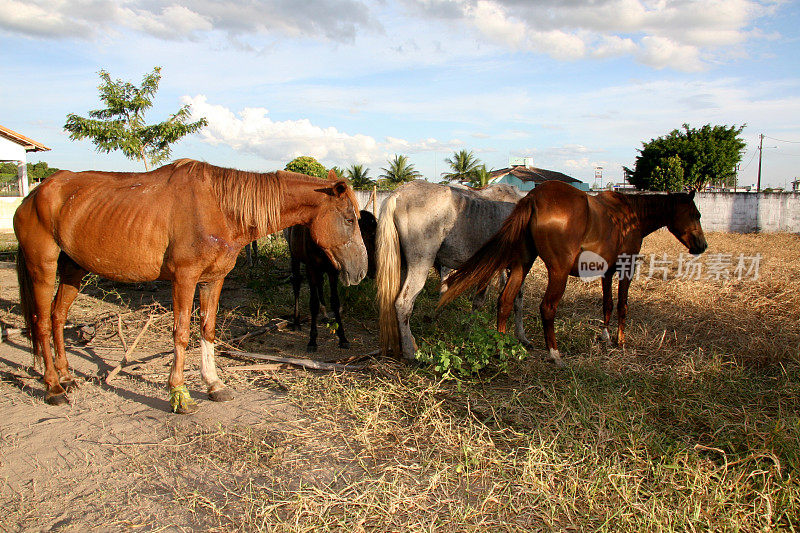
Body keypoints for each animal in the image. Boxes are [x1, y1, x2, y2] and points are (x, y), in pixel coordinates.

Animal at [14, 160, 368, 414]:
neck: (220, 208)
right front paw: (179, 393)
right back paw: (53, 388)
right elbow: (182, 333)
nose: (362, 270)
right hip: (43, 267)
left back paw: (67, 377)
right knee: (41, 323)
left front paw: (214, 385)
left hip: (73, 269)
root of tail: (33, 195)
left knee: (58, 318)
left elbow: (208, 329)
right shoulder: (184, 279)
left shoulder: (213, 279)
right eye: (349, 219)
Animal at [284, 210, 378, 352]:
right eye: (371, 236)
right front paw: (312, 340)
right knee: (297, 283)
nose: (374, 270)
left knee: (320, 283)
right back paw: (296, 321)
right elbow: (313, 303)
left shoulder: (332, 270)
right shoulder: (311, 268)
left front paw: (343, 338)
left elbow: (335, 302)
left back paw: (324, 315)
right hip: (294, 256)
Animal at [376, 181, 532, 360]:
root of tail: (398, 194)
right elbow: (499, 300)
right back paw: (411, 353)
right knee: (403, 303)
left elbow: (506, 300)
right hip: (420, 264)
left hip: (403, 266)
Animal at [438, 179, 708, 366]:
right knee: (547, 307)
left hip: (522, 264)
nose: (702, 246)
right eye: (696, 214)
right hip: (558, 271)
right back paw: (554, 354)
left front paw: (605, 337)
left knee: (505, 301)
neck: (630, 215)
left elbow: (607, 304)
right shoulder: (626, 267)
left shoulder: (607, 271)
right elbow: (622, 305)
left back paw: (501, 348)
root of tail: (533, 198)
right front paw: (620, 341)